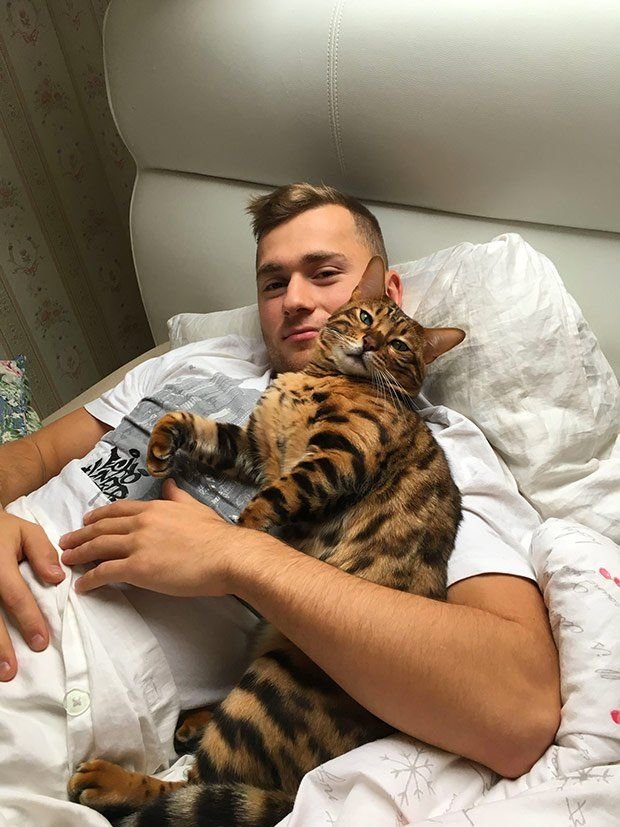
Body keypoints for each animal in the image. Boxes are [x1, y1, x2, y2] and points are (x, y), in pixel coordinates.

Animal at [68, 255, 465, 826]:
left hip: (273, 685)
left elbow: (271, 498)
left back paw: (111, 780)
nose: (369, 344)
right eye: (365, 316)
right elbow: (197, 425)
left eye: (400, 346)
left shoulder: (338, 456)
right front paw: (163, 441)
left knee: (199, 786)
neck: (321, 376)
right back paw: (193, 720)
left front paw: (239, 536)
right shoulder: (254, 446)